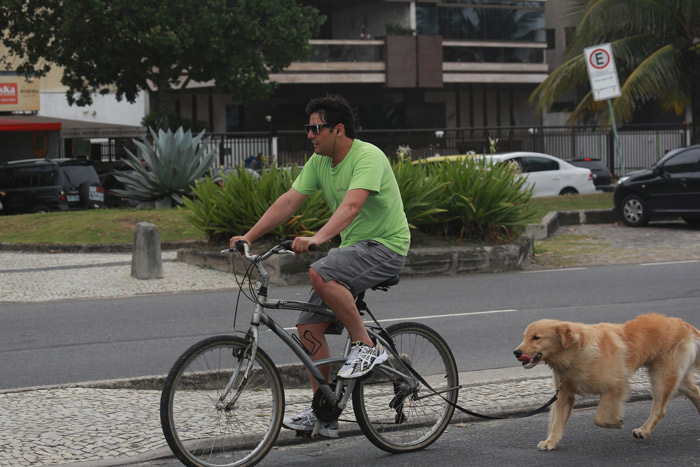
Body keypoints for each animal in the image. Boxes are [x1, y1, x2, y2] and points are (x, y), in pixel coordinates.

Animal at [512, 312, 700, 452]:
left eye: (536, 338)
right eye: (524, 337)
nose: (516, 352)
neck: (576, 351)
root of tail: (684, 324)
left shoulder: (615, 387)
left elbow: (599, 417)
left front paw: (616, 423)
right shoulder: (564, 395)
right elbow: (557, 422)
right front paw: (550, 441)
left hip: (662, 377)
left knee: (660, 409)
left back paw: (644, 430)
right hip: (673, 376)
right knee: (695, 391)